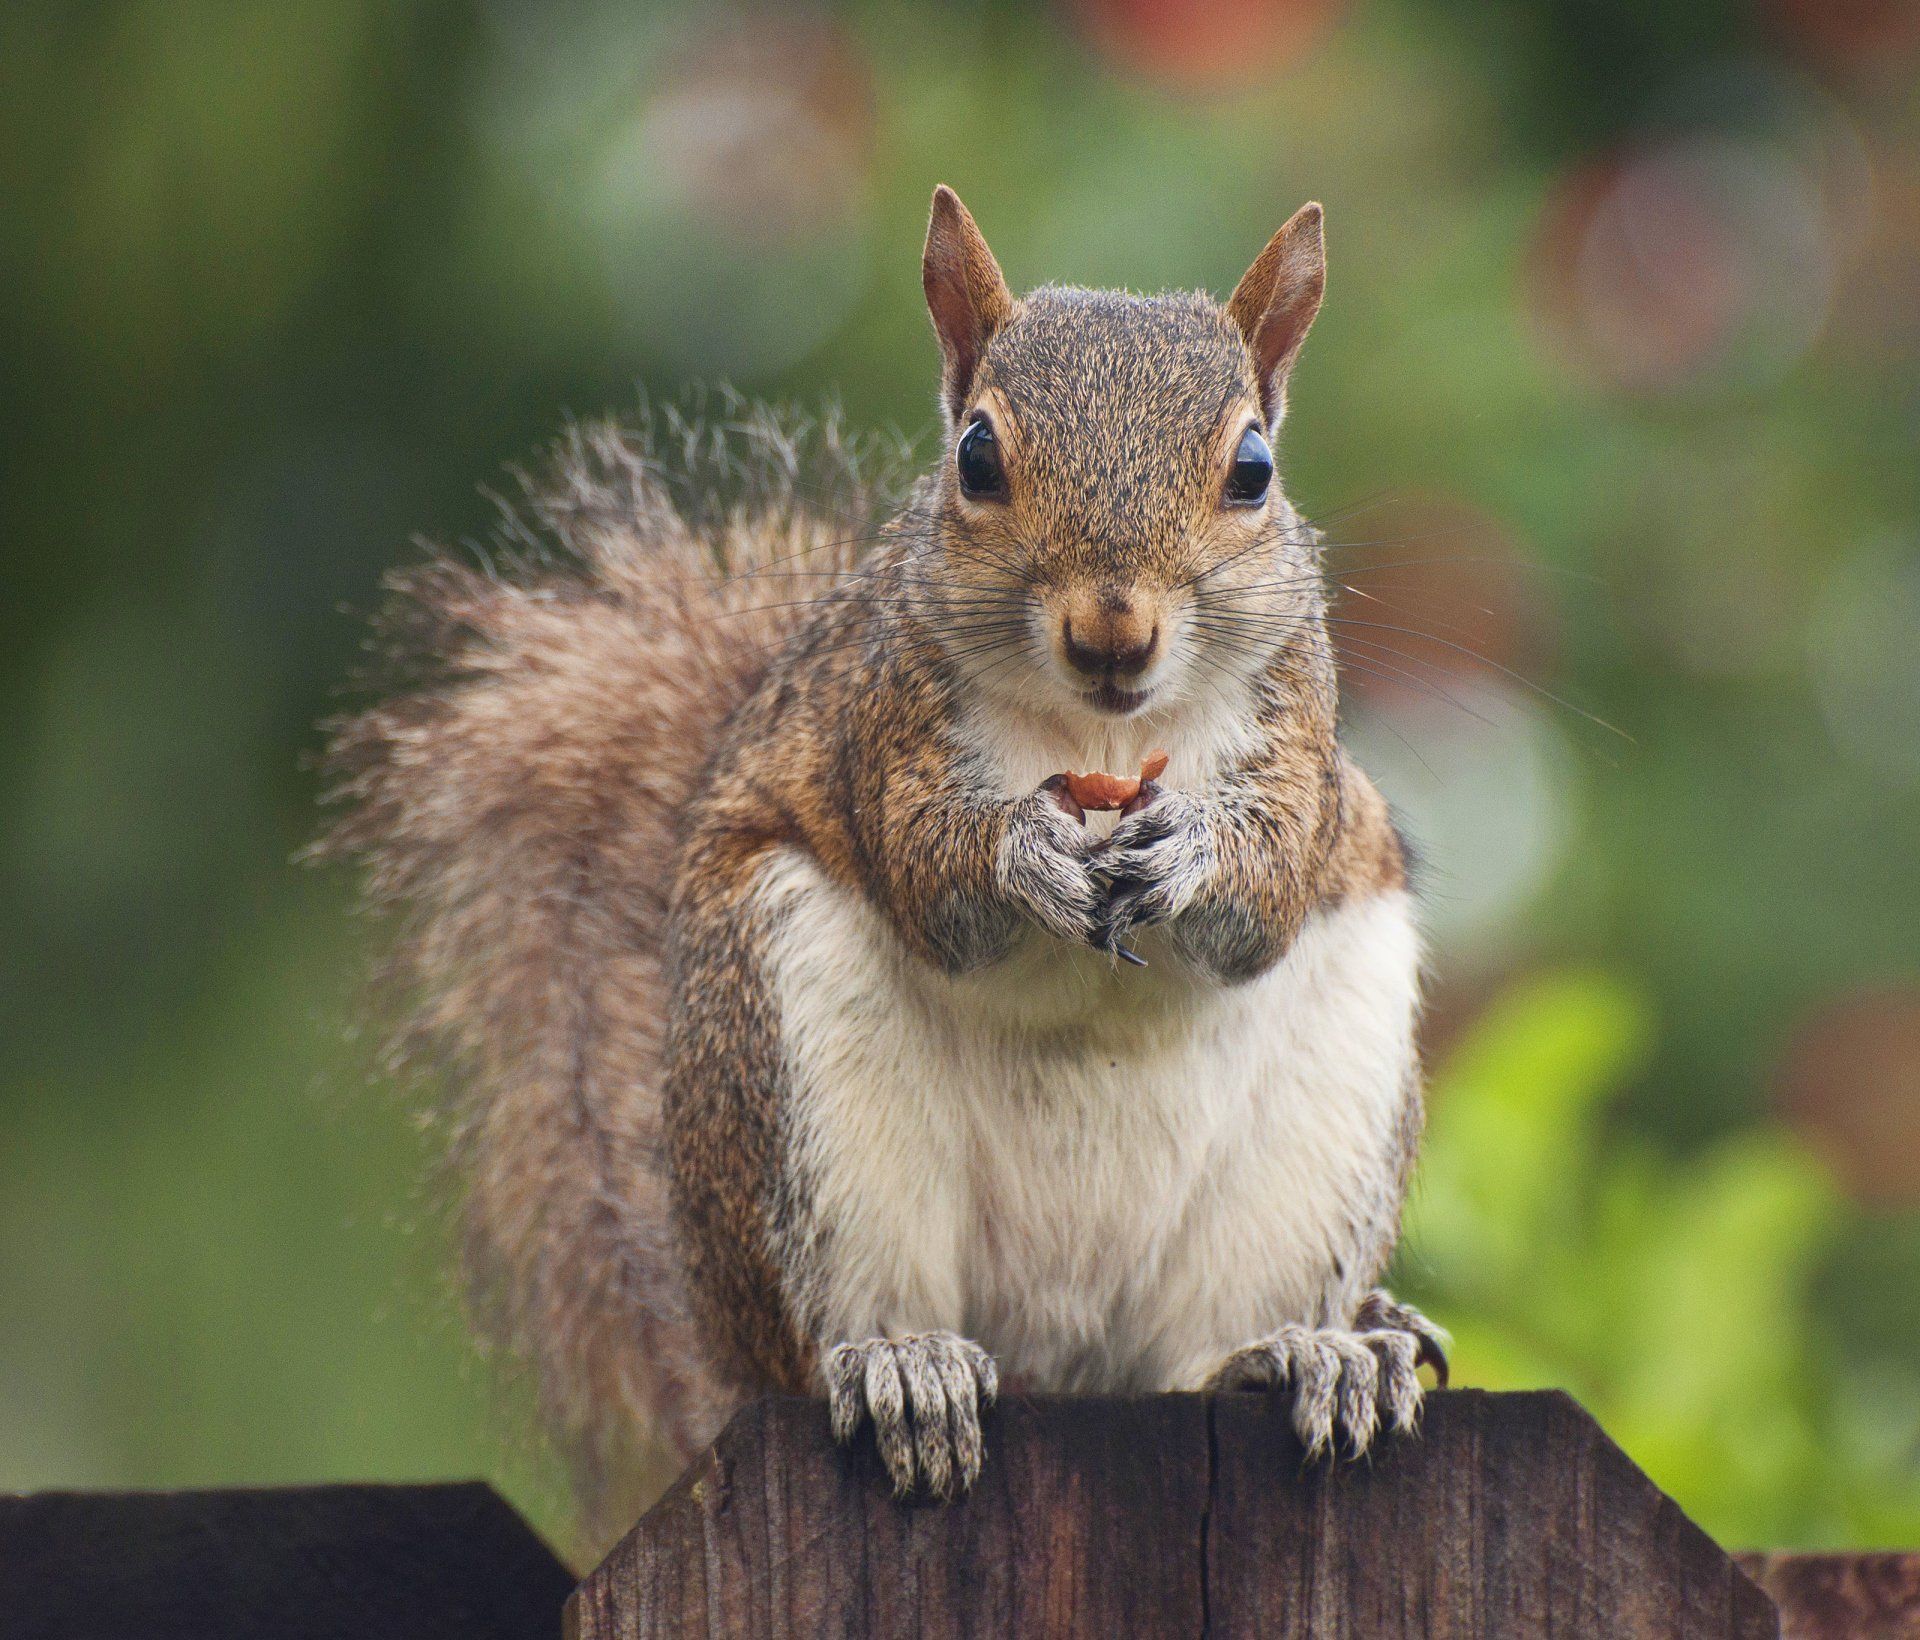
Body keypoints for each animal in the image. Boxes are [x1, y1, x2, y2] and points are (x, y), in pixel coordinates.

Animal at [319, 186, 1445, 1544]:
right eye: (976, 457)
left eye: (1253, 471)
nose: (1111, 631)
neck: (1101, 738)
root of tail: (1060, 1363)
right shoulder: (883, 717)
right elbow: (926, 868)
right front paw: (1021, 852)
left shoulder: (1301, 742)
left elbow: (1268, 884)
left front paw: (1187, 850)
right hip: (797, 1070)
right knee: (826, 1341)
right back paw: (906, 1368)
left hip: (1323, 1118)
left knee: (1198, 1350)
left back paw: (1308, 1353)